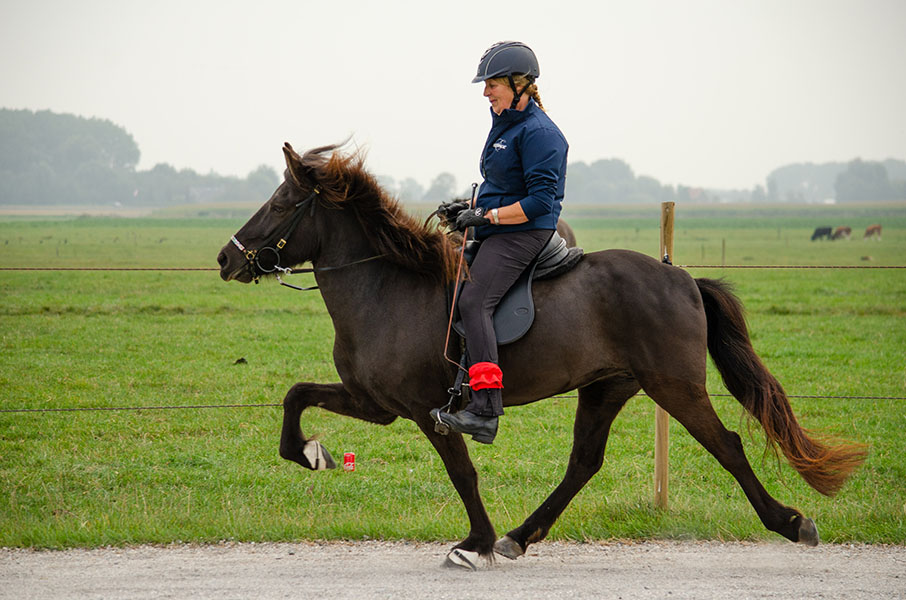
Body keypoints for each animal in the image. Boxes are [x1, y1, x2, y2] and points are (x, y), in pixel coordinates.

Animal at [215, 143, 864, 568]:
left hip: (673, 386)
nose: (226, 259)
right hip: (607, 387)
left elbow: (462, 472)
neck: (386, 287)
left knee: (726, 445)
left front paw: (474, 543)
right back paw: (521, 536)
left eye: (280, 204)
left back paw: (791, 522)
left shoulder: (428, 410)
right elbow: (295, 397)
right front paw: (311, 453)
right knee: (583, 463)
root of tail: (680, 277)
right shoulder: (376, 403)